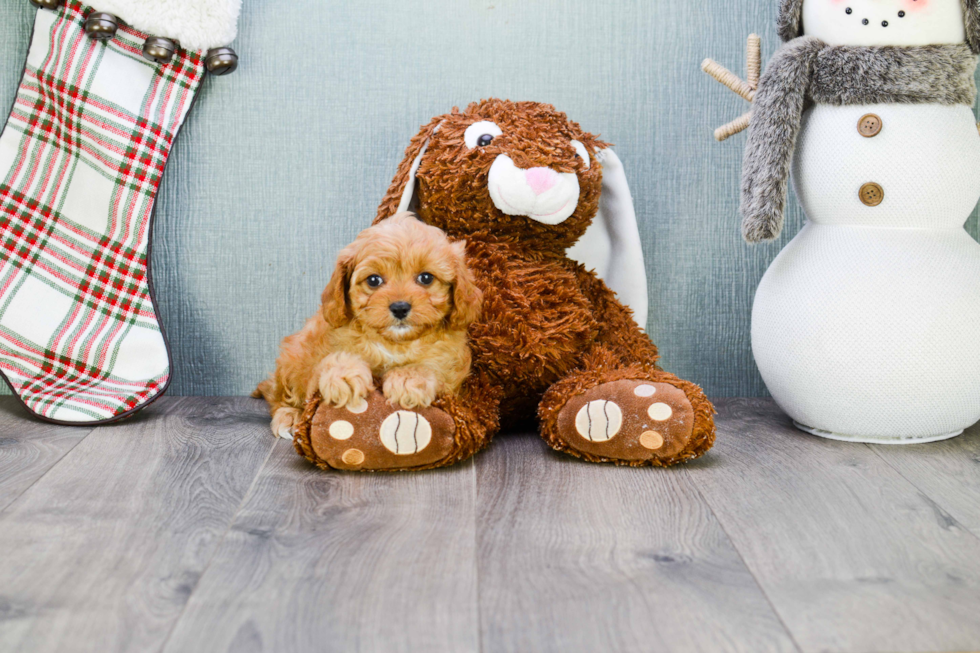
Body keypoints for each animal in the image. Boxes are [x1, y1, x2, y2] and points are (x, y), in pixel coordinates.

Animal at [253, 213, 482, 438]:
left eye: (426, 278)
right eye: (373, 280)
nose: (400, 307)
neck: (395, 343)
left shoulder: (452, 373)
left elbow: (434, 368)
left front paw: (407, 378)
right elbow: (324, 367)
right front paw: (342, 375)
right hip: (294, 356)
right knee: (279, 395)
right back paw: (289, 416)